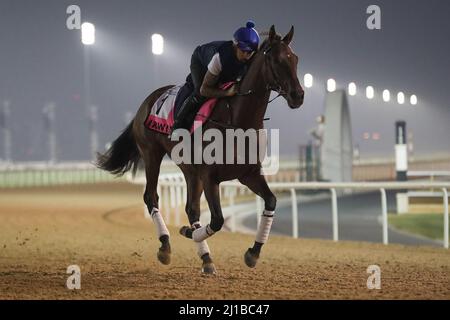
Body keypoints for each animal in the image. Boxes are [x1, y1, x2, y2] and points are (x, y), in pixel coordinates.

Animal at [96, 25, 304, 276]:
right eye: (276, 60)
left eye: (295, 59)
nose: (298, 95)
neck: (237, 120)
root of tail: (148, 100)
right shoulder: (210, 176)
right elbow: (217, 220)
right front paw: (187, 232)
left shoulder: (248, 174)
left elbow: (271, 201)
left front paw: (253, 253)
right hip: (152, 154)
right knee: (151, 197)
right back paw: (165, 245)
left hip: (189, 170)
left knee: (191, 208)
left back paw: (205, 257)